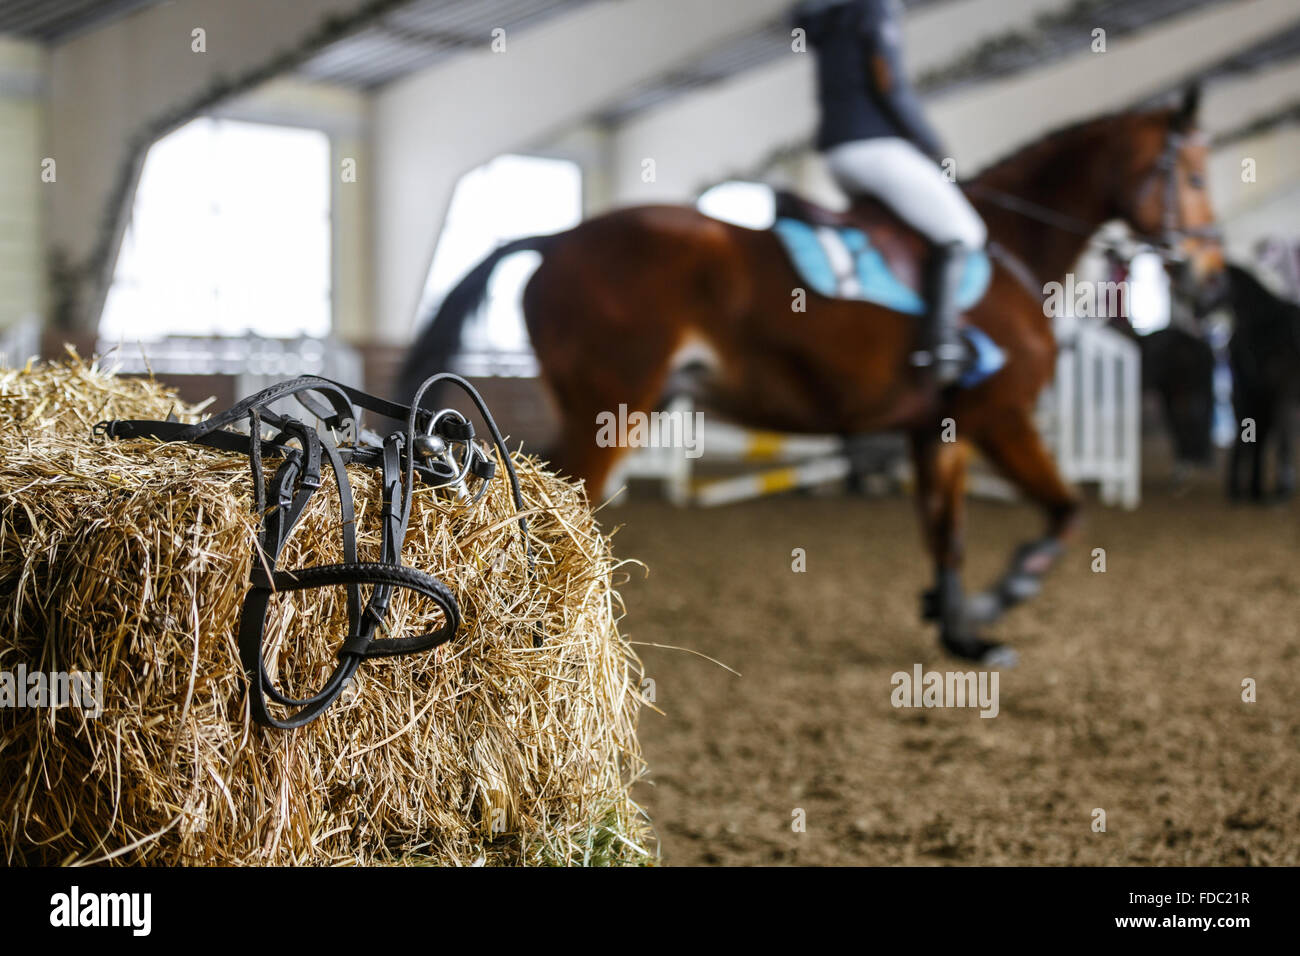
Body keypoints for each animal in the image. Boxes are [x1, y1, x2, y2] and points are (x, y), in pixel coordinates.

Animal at [401, 87, 1224, 665]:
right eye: (1190, 173)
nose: (1212, 282)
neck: (1011, 248)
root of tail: (557, 236)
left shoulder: (940, 428)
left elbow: (949, 531)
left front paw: (959, 629)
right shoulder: (1002, 414)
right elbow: (1065, 512)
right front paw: (1000, 601)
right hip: (610, 410)